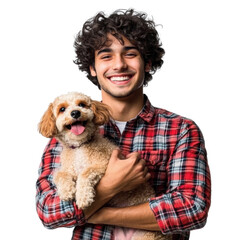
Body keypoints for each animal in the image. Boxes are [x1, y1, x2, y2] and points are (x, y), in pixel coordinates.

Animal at [39, 92, 171, 240]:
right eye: (62, 109)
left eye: (81, 104)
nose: (75, 113)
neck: (79, 146)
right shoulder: (68, 169)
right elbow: (60, 175)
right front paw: (66, 191)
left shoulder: (104, 164)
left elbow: (85, 173)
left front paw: (83, 197)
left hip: (146, 236)